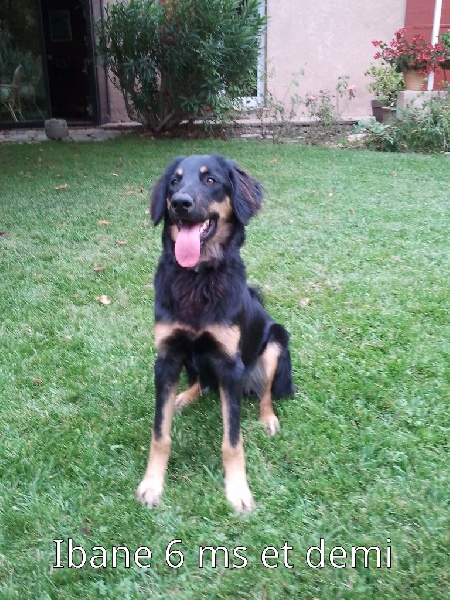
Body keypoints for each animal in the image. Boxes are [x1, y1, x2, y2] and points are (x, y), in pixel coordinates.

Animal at [136, 154, 294, 513]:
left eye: (211, 181)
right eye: (175, 182)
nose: (180, 203)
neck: (197, 277)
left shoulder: (229, 365)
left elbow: (232, 441)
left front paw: (238, 491)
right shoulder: (166, 358)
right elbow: (159, 434)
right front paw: (152, 484)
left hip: (275, 342)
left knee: (265, 393)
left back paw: (268, 418)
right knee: (201, 382)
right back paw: (184, 396)